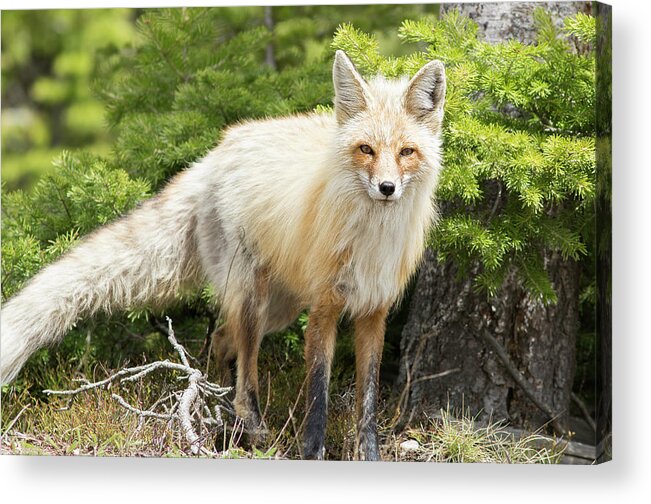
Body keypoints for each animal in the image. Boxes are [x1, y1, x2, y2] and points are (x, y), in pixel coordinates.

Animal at [0, 51, 446, 460]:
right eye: (366, 149)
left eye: (406, 152)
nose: (387, 188)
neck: (372, 239)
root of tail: (218, 150)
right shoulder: (323, 309)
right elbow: (317, 398)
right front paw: (313, 455)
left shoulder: (374, 311)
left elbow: (367, 405)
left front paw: (369, 458)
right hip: (253, 298)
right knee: (243, 368)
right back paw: (247, 426)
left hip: (278, 309)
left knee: (221, 341)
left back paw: (217, 403)